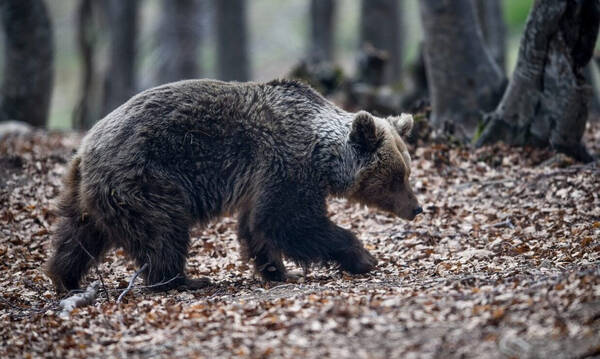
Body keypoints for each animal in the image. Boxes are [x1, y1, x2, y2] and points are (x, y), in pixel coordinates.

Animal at [45, 79, 422, 292]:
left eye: (407, 171)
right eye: (397, 177)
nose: (417, 208)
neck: (322, 156)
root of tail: (86, 148)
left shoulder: (262, 179)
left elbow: (258, 226)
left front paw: (277, 270)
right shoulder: (286, 163)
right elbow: (289, 221)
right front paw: (363, 256)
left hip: (90, 194)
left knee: (78, 234)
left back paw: (65, 278)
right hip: (145, 178)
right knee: (163, 230)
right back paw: (181, 280)